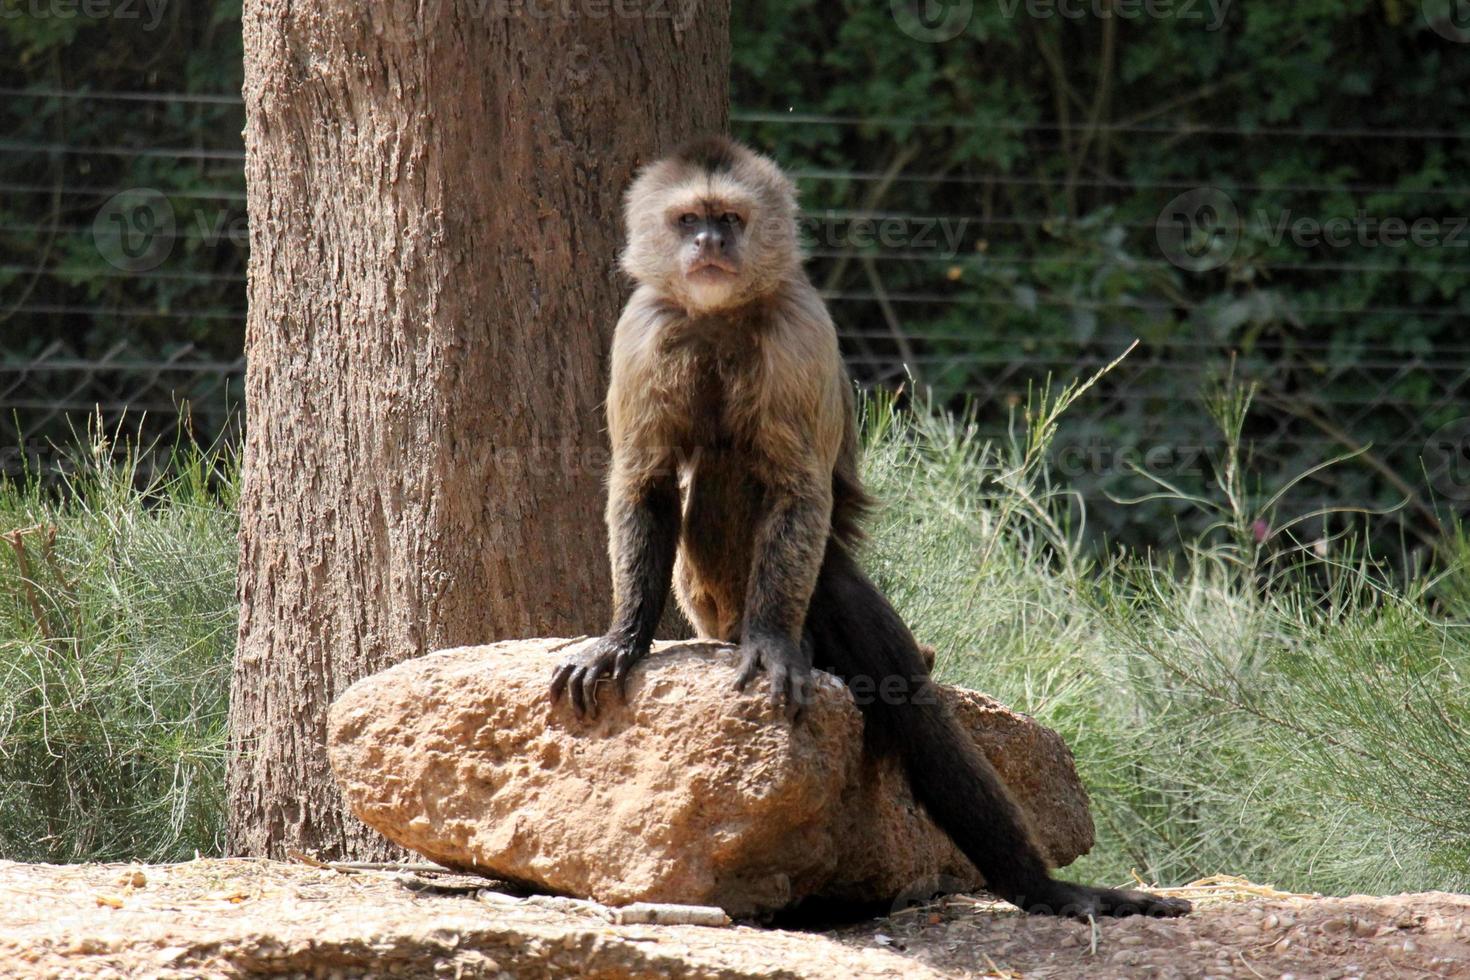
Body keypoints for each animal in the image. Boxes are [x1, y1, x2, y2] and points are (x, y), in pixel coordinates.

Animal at [546, 135, 1187, 922]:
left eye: (730, 218)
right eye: (690, 219)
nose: (709, 244)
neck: (720, 317)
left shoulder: (798, 327)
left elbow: (798, 487)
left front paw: (771, 642)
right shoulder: (645, 328)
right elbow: (646, 481)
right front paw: (624, 636)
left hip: (821, 588)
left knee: (899, 685)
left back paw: (1041, 886)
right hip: (713, 604)